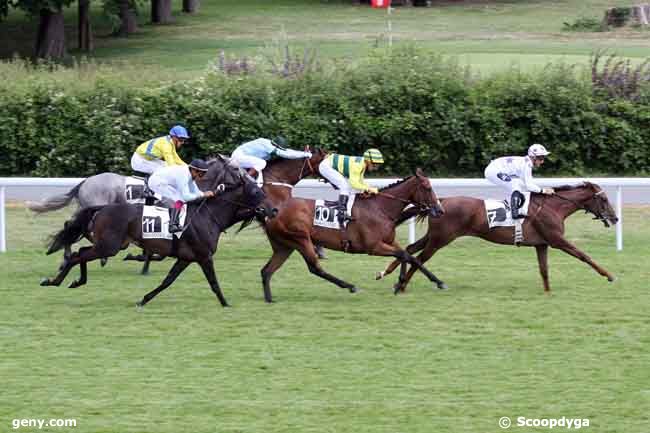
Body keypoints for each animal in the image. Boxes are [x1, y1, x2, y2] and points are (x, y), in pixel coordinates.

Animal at [258, 167, 446, 302]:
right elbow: (405, 255)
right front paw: (403, 282)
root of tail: (272, 213)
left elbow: (407, 255)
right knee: (315, 268)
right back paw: (350, 286)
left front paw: (407, 282)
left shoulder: (389, 241)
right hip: (300, 239)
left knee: (266, 271)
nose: (440, 210)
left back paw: (269, 299)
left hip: (284, 246)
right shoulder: (373, 247)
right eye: (427, 187)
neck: (381, 209)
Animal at [378, 181, 616, 292]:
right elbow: (583, 255)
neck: (554, 207)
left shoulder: (542, 244)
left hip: (435, 236)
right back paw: (403, 285)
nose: (614, 218)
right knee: (419, 257)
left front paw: (548, 292)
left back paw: (388, 275)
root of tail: (441, 202)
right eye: (604, 199)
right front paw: (609, 275)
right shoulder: (557, 240)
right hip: (441, 239)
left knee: (409, 250)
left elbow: (544, 270)